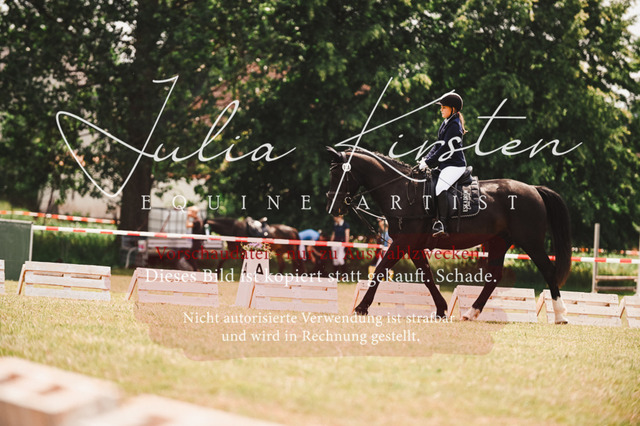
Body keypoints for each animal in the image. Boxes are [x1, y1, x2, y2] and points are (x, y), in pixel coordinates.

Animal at [326, 147, 572, 323]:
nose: (333, 207)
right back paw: (471, 312)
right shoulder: (413, 246)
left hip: (531, 242)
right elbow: (426, 275)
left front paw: (361, 307)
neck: (402, 191)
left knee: (548, 271)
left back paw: (561, 315)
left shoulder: (403, 242)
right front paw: (441, 309)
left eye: (339, 174)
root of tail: (533, 189)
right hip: (499, 241)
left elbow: (379, 271)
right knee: (494, 276)